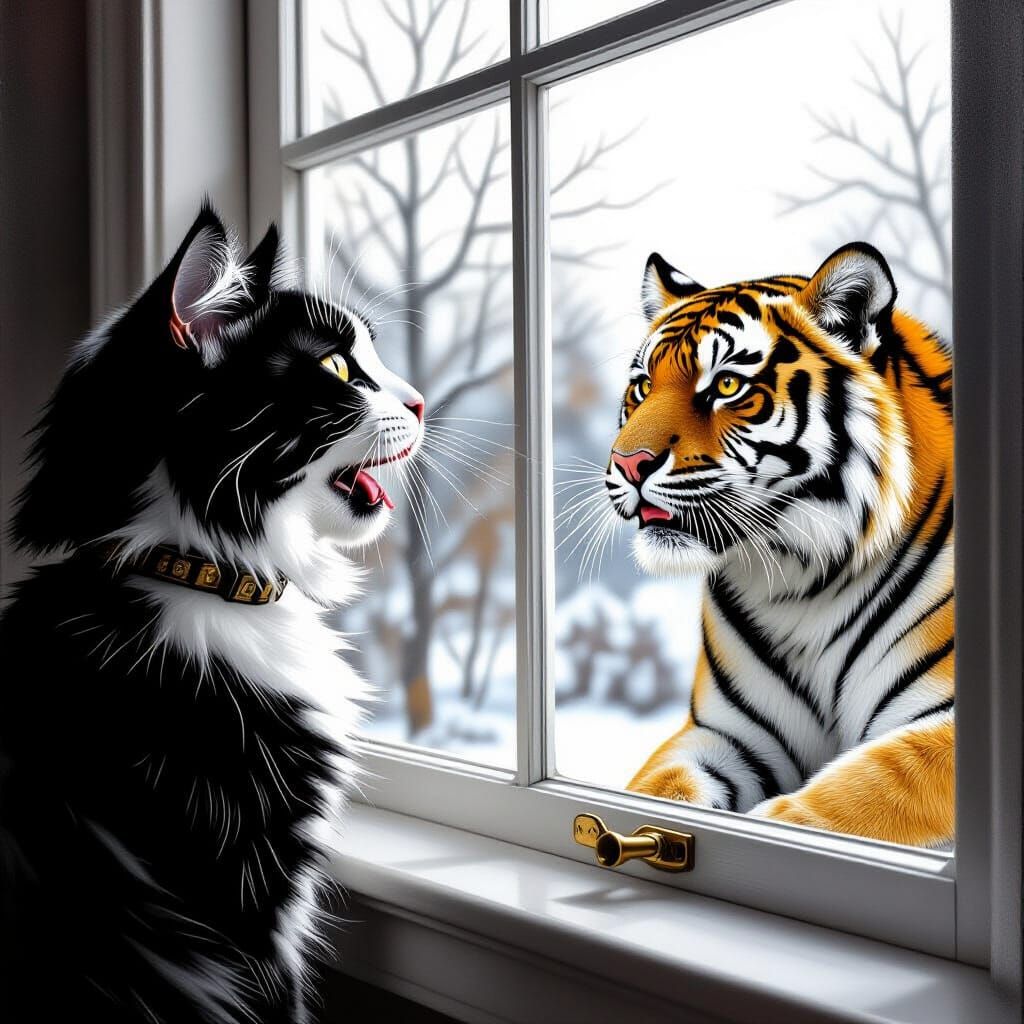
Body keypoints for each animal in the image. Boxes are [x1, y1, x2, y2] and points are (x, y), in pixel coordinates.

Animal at [606, 242, 954, 847]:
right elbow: (662, 787)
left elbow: (874, 788)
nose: (628, 463)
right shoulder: (727, 733)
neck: (802, 583)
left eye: (727, 386)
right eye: (643, 386)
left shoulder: (945, 722)